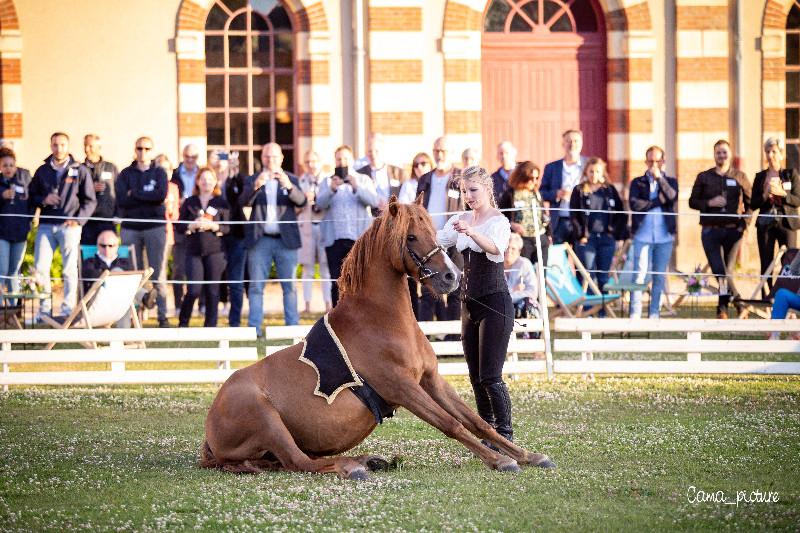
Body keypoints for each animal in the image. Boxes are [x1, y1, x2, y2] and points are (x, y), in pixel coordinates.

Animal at [198, 195, 556, 478]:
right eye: (411, 237)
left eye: (435, 233)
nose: (451, 276)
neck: (382, 322)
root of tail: (210, 426)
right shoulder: (402, 388)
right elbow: (451, 424)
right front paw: (500, 461)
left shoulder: (430, 380)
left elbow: (476, 421)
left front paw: (528, 455)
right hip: (268, 420)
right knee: (300, 462)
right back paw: (353, 466)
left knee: (292, 460)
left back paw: (368, 459)